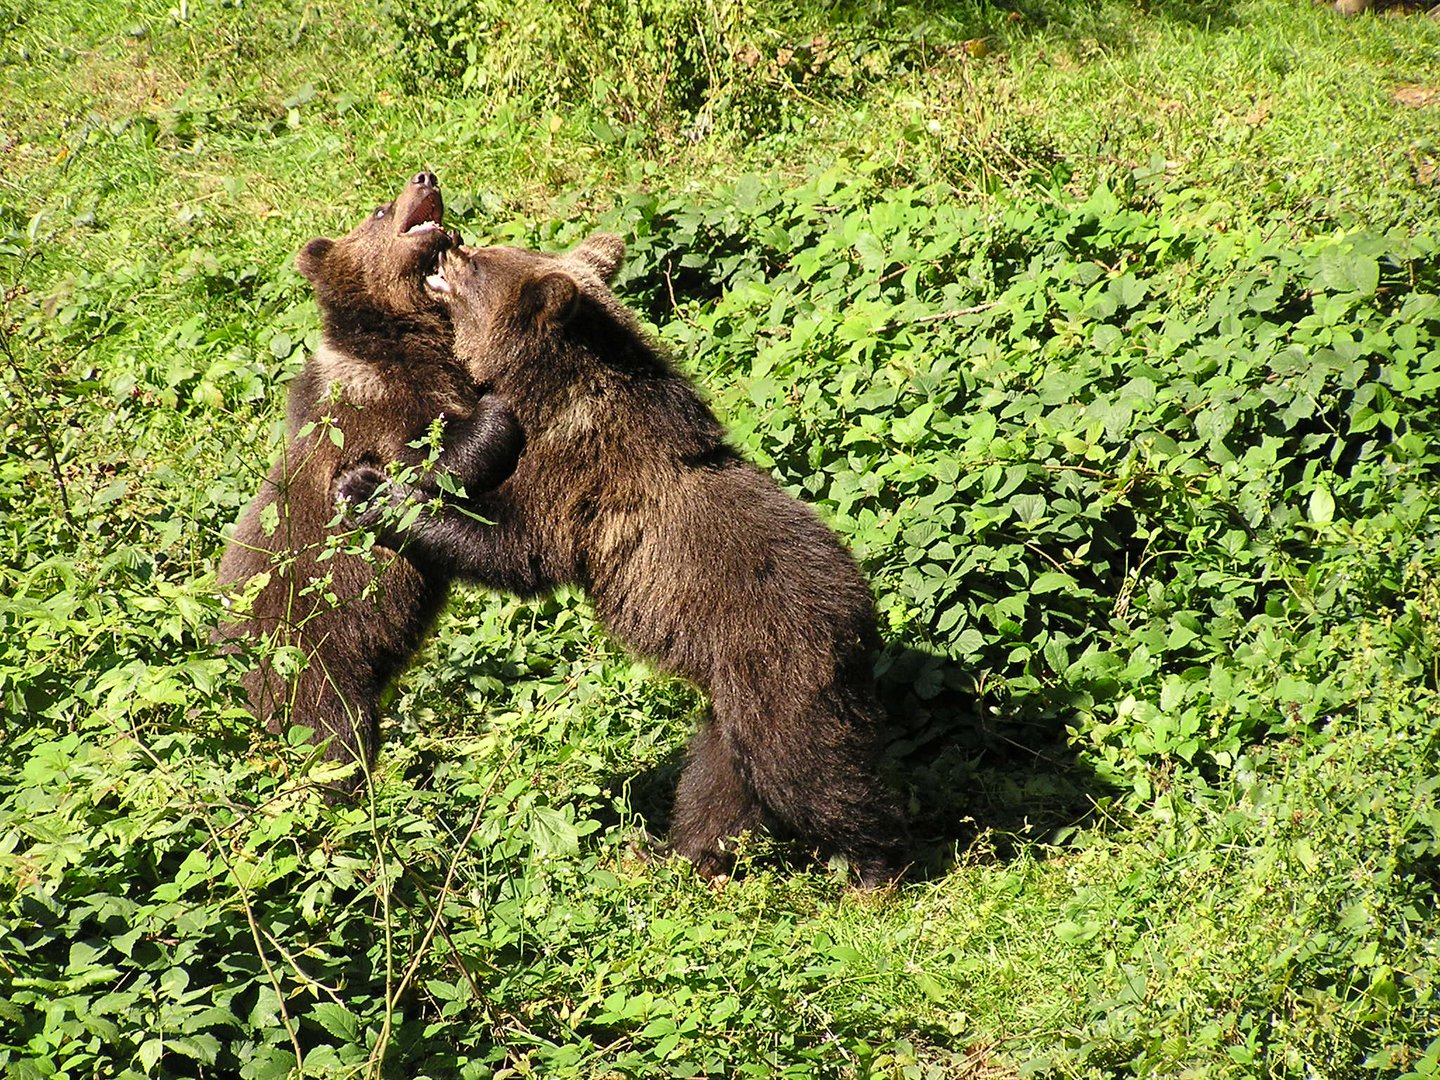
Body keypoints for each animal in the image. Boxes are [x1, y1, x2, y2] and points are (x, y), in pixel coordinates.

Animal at [216, 169, 521, 777]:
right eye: (380, 210)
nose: (425, 176)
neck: (402, 338)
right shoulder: (371, 411)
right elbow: (432, 462)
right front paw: (496, 411)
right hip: (306, 658)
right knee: (330, 739)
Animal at [332, 233, 904, 881]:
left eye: (481, 261)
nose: (449, 246)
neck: (550, 389)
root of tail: (862, 616)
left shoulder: (573, 472)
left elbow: (512, 548)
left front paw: (367, 488)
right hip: (731, 700)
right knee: (719, 780)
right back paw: (676, 853)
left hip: (778, 666)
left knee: (808, 771)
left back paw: (875, 866)